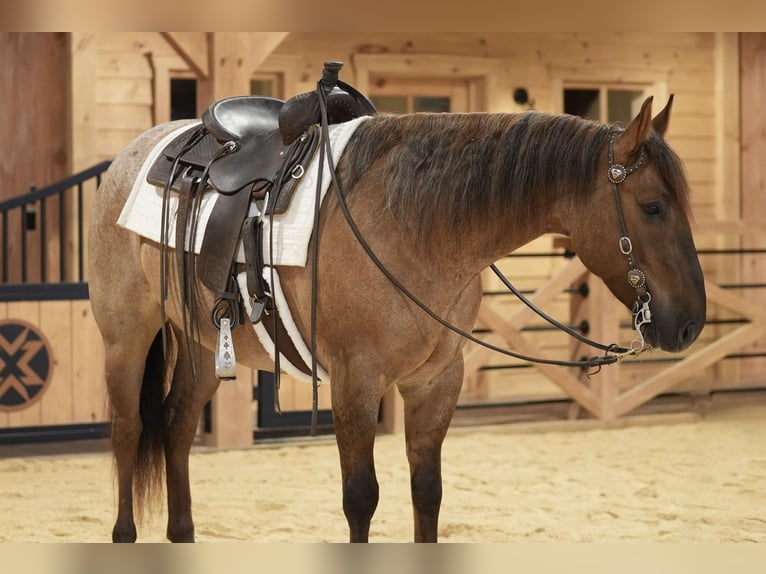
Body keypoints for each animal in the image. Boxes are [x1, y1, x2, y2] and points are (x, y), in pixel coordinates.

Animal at [87, 94, 706, 543]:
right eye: (653, 207)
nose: (691, 323)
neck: (413, 222)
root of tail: (131, 156)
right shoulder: (355, 384)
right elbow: (361, 497)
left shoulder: (436, 381)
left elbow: (427, 491)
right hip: (125, 338)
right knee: (128, 430)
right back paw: (124, 534)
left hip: (200, 342)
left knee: (175, 424)